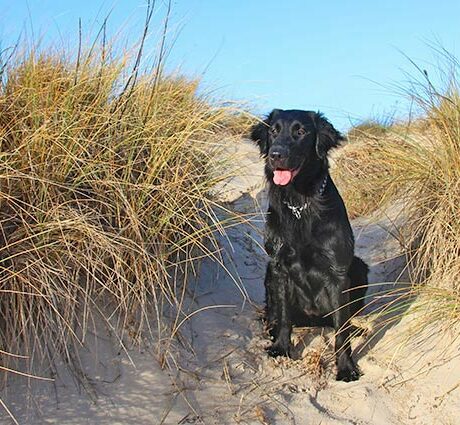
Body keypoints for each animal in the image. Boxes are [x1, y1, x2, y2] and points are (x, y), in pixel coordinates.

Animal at [250, 109, 368, 380]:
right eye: (274, 131)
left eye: (301, 131)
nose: (276, 154)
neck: (299, 203)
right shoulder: (279, 265)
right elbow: (284, 316)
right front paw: (281, 348)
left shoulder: (338, 273)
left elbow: (341, 330)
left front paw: (346, 367)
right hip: (269, 274)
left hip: (359, 267)